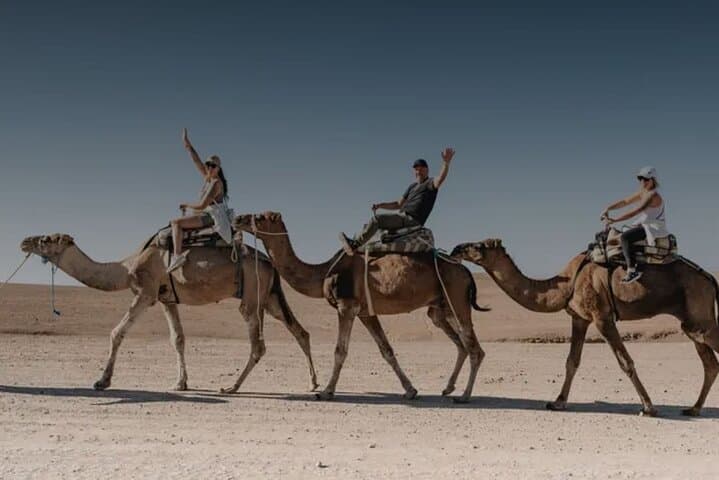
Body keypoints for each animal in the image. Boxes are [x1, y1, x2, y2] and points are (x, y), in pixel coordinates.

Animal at [20, 233, 318, 393]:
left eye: (45, 239)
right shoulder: (167, 299)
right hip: (270, 297)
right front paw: (180, 383)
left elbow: (117, 332)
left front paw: (102, 381)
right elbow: (178, 339)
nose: (24, 242)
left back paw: (232, 387)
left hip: (252, 296)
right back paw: (314, 384)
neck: (126, 267)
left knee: (258, 344)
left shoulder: (146, 292)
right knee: (300, 331)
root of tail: (270, 263)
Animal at [233, 212, 488, 402]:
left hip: (456, 299)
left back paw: (464, 396)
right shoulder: (365, 311)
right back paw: (448, 388)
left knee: (475, 348)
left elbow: (340, 350)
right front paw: (410, 390)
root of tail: (466, 271)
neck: (324, 271)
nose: (238, 218)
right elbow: (386, 350)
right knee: (463, 344)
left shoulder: (346, 306)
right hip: (441, 308)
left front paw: (326, 391)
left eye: (260, 216)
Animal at [451, 238, 719, 416]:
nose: (456, 248)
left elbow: (625, 362)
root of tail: (710, 278)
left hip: (700, 315)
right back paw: (693, 409)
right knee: (710, 363)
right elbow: (572, 361)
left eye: (479, 245)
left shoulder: (602, 317)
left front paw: (648, 407)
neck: (565, 284)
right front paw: (557, 402)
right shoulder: (579, 318)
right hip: (691, 322)